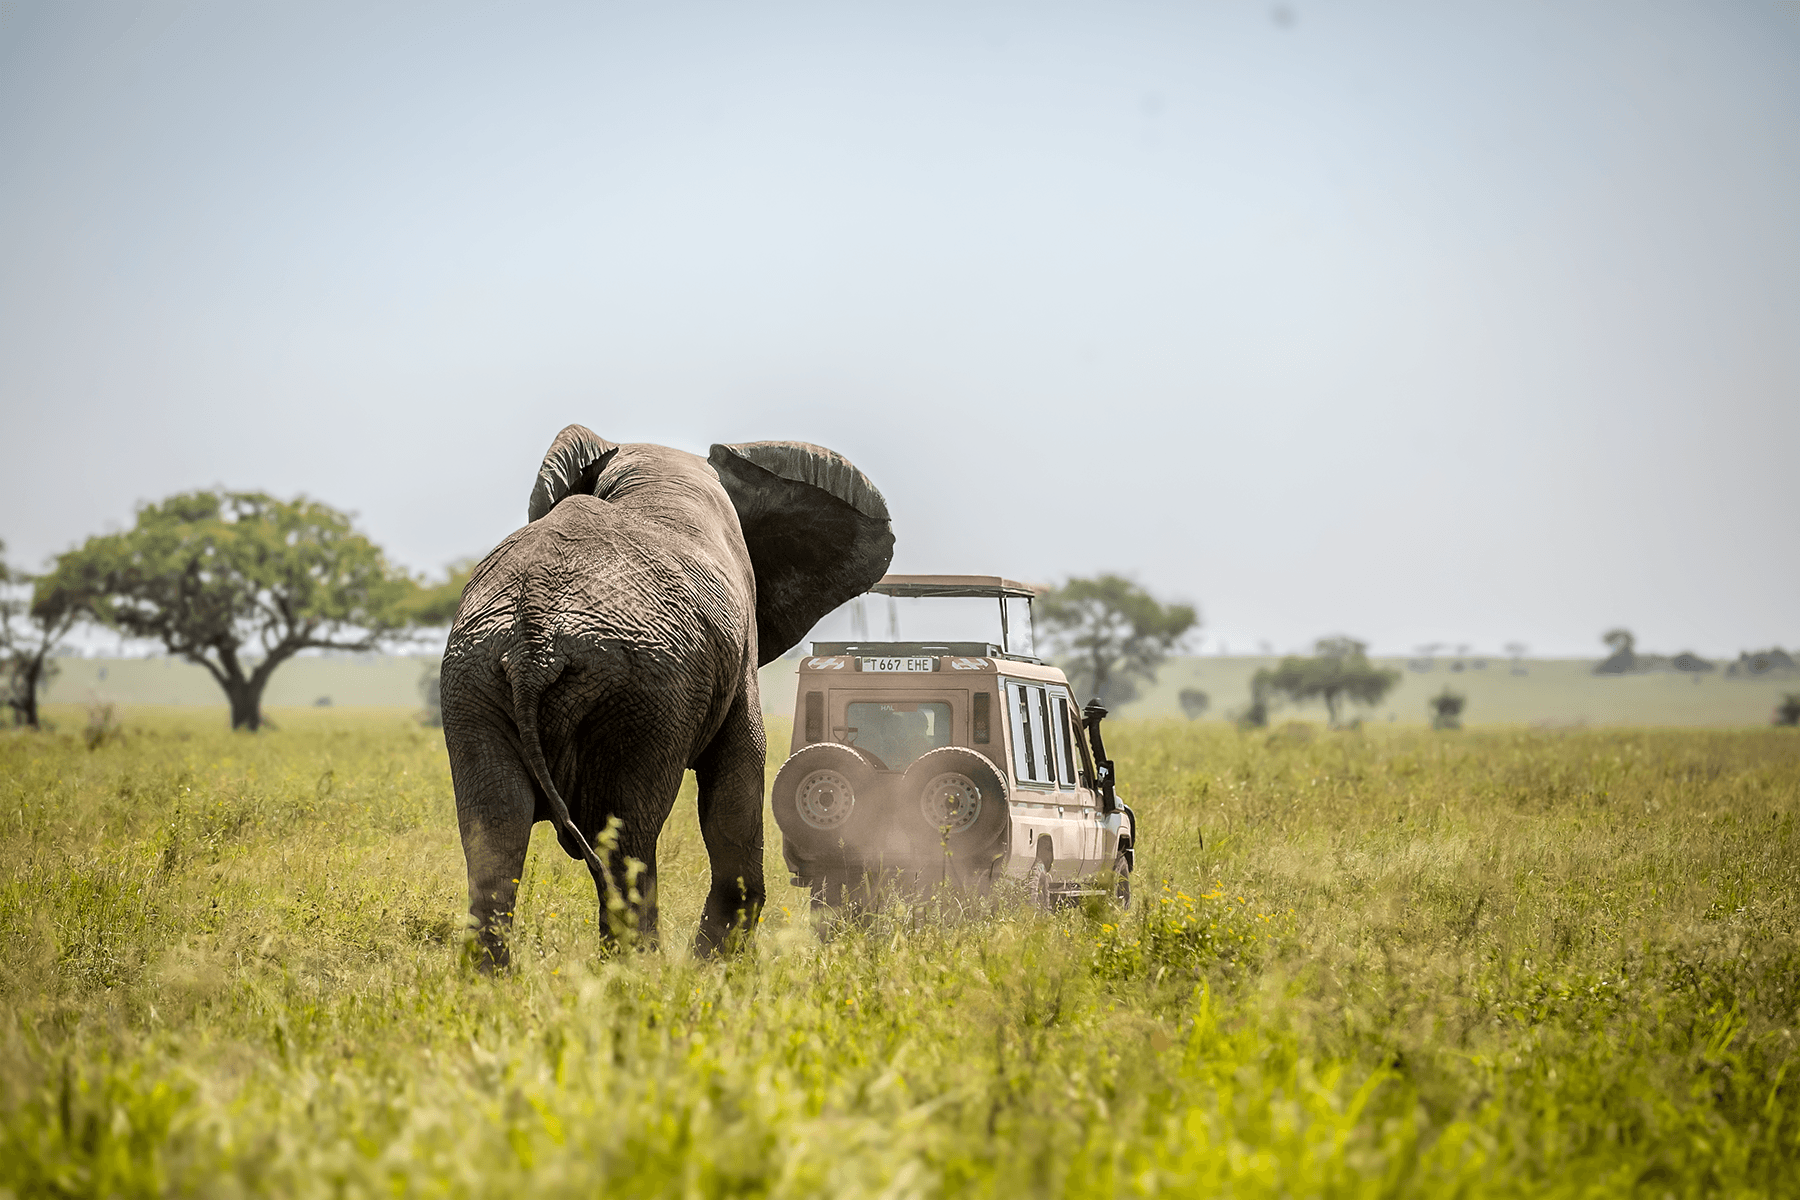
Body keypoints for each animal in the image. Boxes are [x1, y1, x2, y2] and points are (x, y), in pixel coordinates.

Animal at [441, 425, 893, 965]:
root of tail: (534, 640)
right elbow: (739, 780)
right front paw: (717, 966)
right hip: (642, 694)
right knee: (624, 835)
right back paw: (641, 970)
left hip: (476, 681)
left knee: (495, 831)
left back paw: (495, 978)